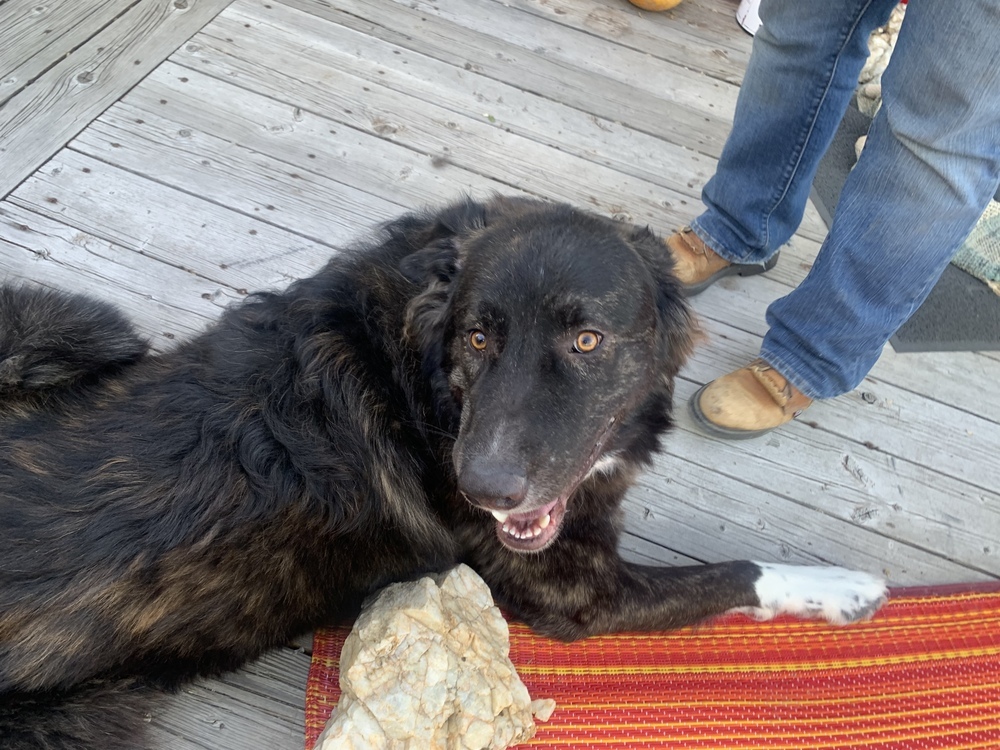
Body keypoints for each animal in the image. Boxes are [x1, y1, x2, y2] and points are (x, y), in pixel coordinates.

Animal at [0, 197, 884, 748]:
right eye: (479, 337)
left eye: (587, 340)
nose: (485, 489)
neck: (416, 376)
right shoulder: (577, 595)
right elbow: (736, 571)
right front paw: (844, 586)